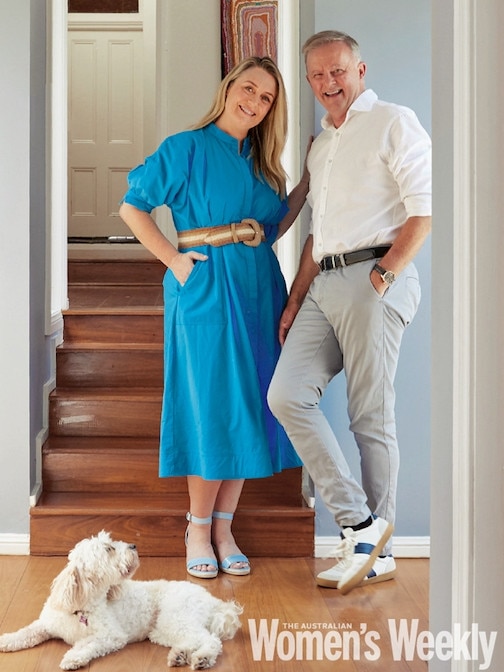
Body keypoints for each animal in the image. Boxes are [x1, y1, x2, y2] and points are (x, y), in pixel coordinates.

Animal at [0, 532, 242, 668]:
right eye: (109, 549)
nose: (133, 545)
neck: (82, 609)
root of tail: (212, 600)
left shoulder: (111, 636)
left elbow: (88, 644)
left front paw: (73, 657)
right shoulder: (47, 624)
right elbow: (27, 632)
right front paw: (7, 640)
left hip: (176, 616)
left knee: (211, 640)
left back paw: (203, 658)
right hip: (162, 630)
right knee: (192, 638)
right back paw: (180, 655)